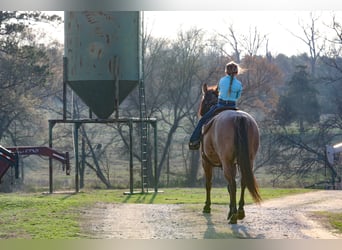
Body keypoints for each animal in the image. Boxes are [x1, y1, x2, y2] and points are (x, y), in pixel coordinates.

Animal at [199, 83, 260, 225]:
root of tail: (239, 118)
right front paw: (231, 209)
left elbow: (208, 184)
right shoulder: (234, 163)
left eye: (204, 100)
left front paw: (207, 206)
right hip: (248, 160)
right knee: (243, 182)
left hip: (225, 161)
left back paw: (234, 216)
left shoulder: (206, 162)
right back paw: (240, 212)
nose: (201, 112)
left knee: (232, 184)